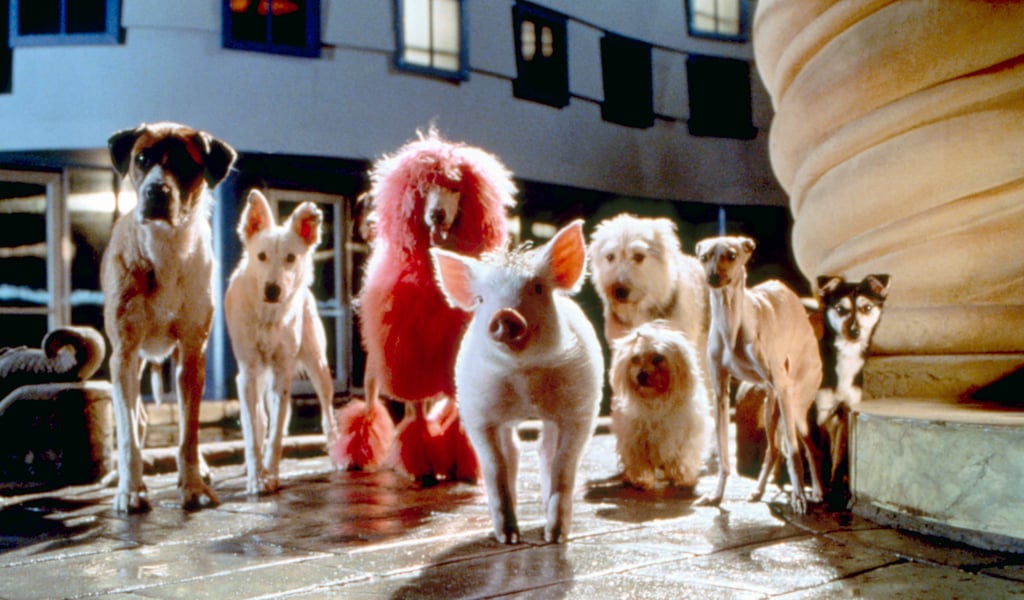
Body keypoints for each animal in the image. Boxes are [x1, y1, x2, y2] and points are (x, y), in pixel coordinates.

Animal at [431, 219, 604, 544]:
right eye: (482, 299)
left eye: (537, 288)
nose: (505, 314)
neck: (524, 381)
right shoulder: (478, 415)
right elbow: (495, 468)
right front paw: (509, 538)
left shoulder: (580, 412)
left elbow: (563, 467)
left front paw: (555, 538)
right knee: (513, 452)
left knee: (544, 450)